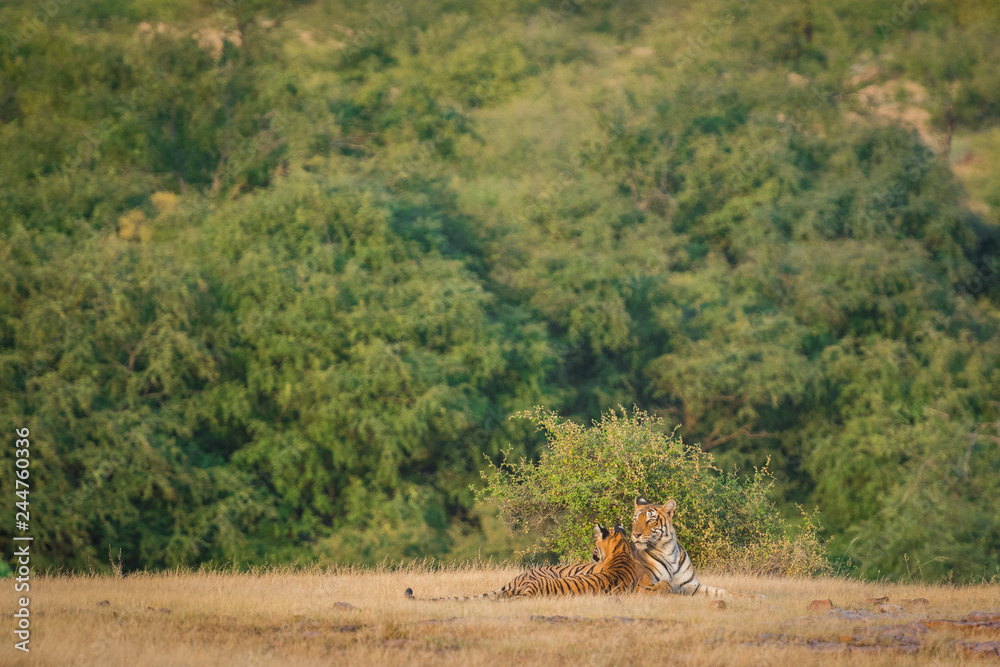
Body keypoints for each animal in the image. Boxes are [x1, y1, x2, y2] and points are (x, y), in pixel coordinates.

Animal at [631, 496, 762, 599]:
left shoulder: (692, 587)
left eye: (650, 520)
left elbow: (721, 591)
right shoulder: (646, 587)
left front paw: (756, 597)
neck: (668, 551)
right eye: (635, 520)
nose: (635, 534)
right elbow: (679, 597)